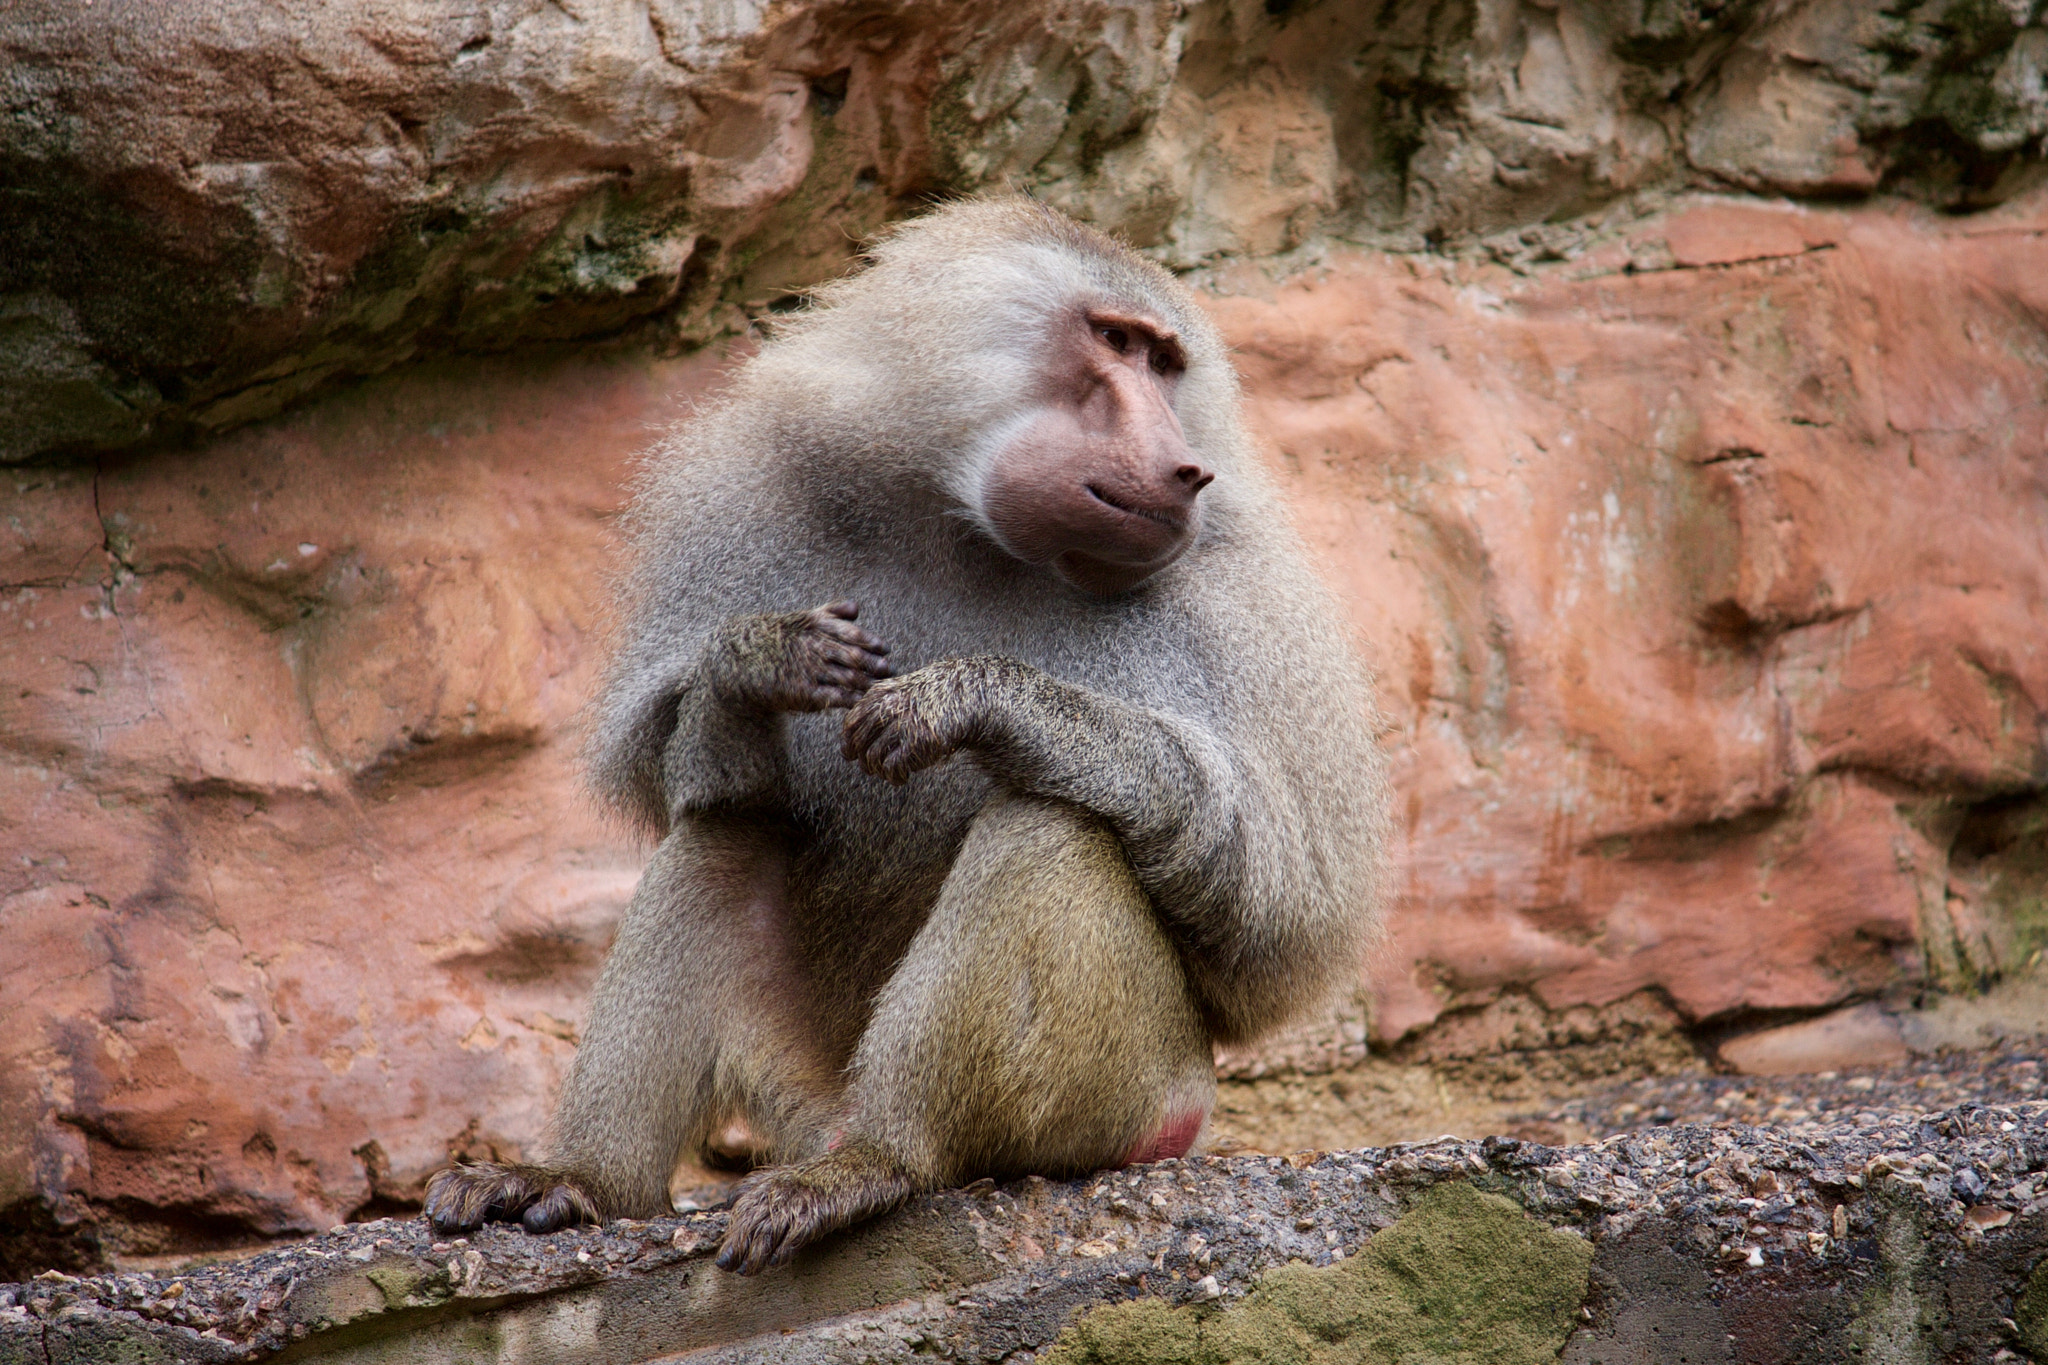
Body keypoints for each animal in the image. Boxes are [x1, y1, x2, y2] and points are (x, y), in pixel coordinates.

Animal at [424, 197, 1387, 1274]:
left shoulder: (1246, 601)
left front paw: (978, 700)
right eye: (1114, 342)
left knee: (1050, 820)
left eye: (1166, 362)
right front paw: (756, 663)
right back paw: (582, 1185)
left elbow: (1279, 920)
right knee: (724, 832)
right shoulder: (754, 490)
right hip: (802, 1076)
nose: (1184, 467)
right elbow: (680, 765)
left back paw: (882, 1162)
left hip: (1134, 1100)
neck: (970, 534)